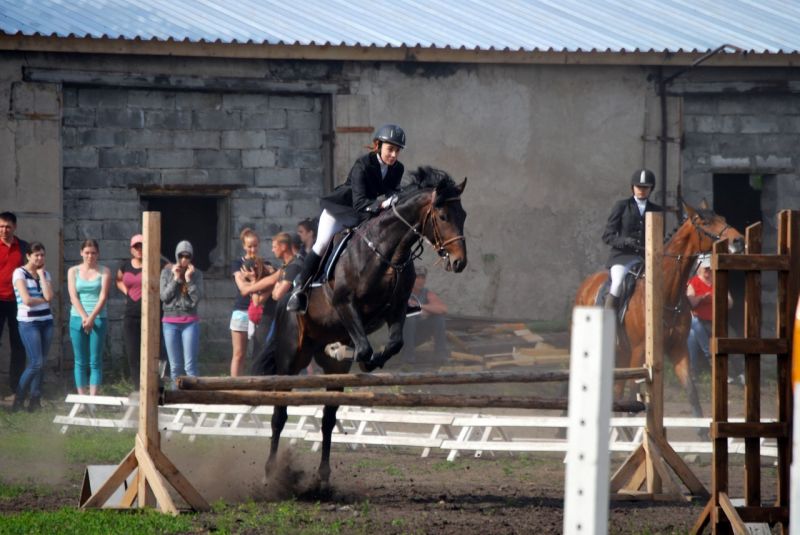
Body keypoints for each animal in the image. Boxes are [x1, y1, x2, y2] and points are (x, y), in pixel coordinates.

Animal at [255, 166, 467, 487]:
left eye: (463, 215)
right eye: (443, 216)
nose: (459, 263)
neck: (388, 252)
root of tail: (281, 303)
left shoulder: (396, 310)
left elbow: (394, 343)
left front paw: (368, 360)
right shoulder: (345, 304)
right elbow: (366, 346)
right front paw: (361, 356)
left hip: (332, 372)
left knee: (328, 419)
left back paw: (323, 476)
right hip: (290, 356)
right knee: (279, 414)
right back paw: (270, 474)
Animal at [573, 201, 744, 420]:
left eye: (722, 218)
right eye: (706, 223)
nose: (738, 241)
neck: (667, 292)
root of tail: (586, 285)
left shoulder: (678, 348)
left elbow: (691, 393)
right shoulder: (639, 351)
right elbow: (633, 396)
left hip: (621, 352)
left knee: (617, 390)